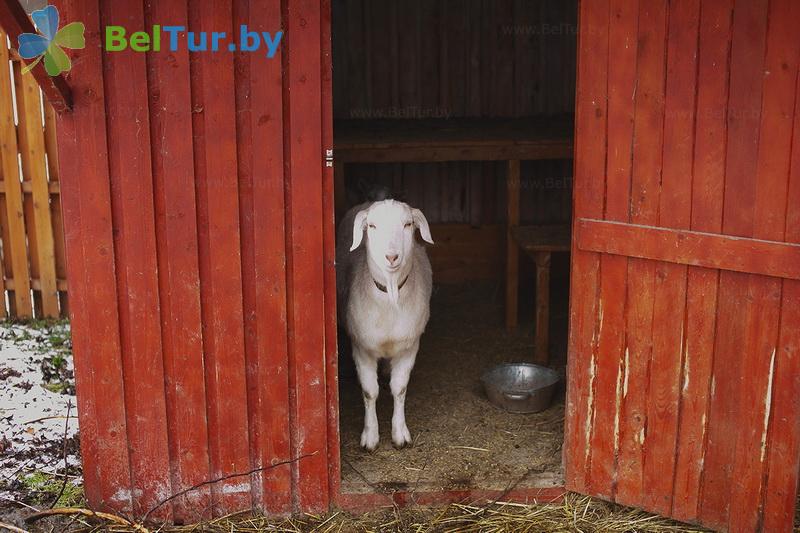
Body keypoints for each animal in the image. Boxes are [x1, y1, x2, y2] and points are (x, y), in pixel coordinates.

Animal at [336, 200, 434, 448]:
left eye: (408, 224)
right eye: (372, 226)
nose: (392, 257)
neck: (391, 297)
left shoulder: (410, 346)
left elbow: (399, 389)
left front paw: (400, 434)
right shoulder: (361, 348)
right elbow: (370, 392)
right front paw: (370, 436)